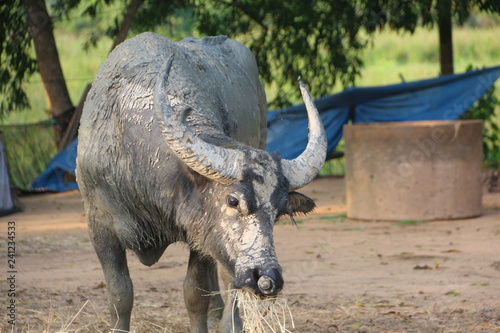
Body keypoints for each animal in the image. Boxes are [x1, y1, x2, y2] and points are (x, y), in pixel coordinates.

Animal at [76, 31, 326, 332]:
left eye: (277, 212)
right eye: (233, 200)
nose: (268, 278)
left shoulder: (200, 238)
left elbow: (195, 294)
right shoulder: (100, 229)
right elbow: (119, 296)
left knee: (227, 277)